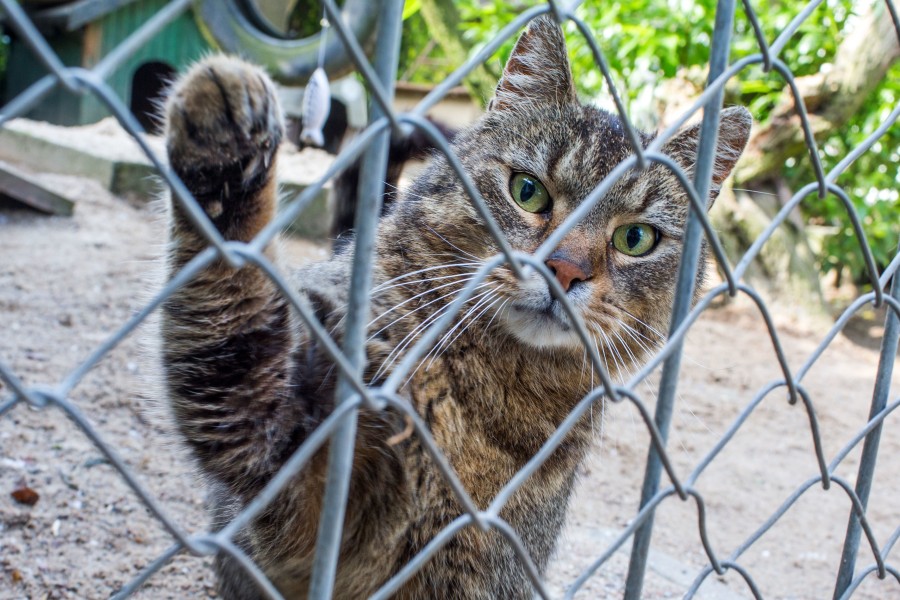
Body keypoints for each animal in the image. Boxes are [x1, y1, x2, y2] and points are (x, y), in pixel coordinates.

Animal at [162, 14, 752, 600]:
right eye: (528, 191)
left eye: (635, 238)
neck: (487, 393)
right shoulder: (295, 467)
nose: (564, 269)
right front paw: (226, 135)